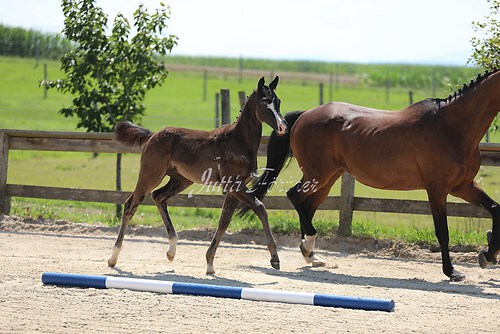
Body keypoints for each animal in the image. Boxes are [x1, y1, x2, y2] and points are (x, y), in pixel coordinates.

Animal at [108, 77, 290, 276]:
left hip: (180, 179)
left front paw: (210, 263)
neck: (237, 142)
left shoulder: (234, 189)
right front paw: (275, 258)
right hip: (150, 176)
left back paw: (171, 252)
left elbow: (224, 222)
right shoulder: (234, 185)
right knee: (130, 206)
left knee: (159, 197)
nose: (283, 127)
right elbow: (260, 208)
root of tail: (152, 135)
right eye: (265, 102)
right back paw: (113, 258)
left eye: (278, 101)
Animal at [240, 69, 498, 280]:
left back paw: (311, 254)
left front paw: (487, 256)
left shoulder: (463, 186)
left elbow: (496, 209)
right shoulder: (437, 189)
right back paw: (309, 246)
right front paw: (452, 271)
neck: (451, 127)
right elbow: (442, 231)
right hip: (318, 174)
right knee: (294, 196)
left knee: (307, 204)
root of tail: (305, 115)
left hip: (328, 177)